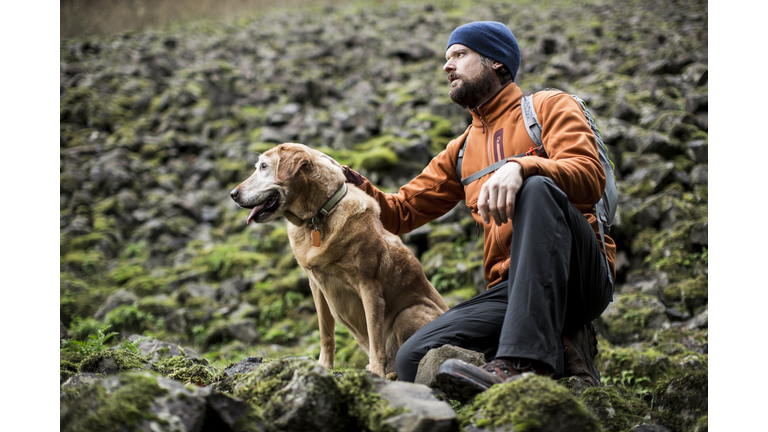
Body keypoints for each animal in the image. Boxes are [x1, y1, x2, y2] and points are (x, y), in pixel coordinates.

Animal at [230, 143, 450, 378]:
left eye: (263, 166)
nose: (233, 194)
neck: (317, 217)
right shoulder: (317, 286)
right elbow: (326, 334)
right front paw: (324, 366)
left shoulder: (369, 287)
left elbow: (375, 337)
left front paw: (376, 371)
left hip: (408, 313)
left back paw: (390, 374)